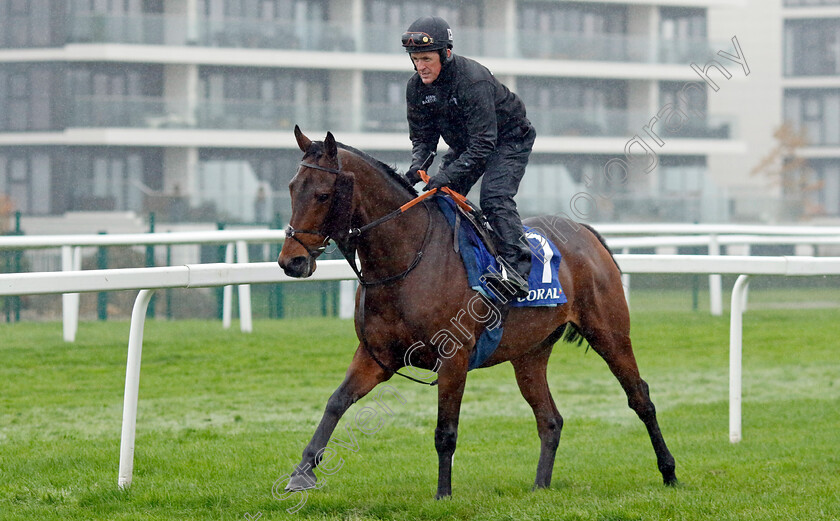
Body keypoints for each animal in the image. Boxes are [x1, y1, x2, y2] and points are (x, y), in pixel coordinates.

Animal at [276, 128, 676, 498]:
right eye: (292, 187)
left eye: (322, 193)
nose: (290, 262)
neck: (407, 259)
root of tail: (586, 232)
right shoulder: (378, 356)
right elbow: (336, 402)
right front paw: (302, 473)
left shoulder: (453, 357)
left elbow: (445, 431)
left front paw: (443, 495)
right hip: (530, 353)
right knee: (550, 419)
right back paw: (540, 487)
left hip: (609, 332)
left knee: (640, 397)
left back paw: (669, 472)